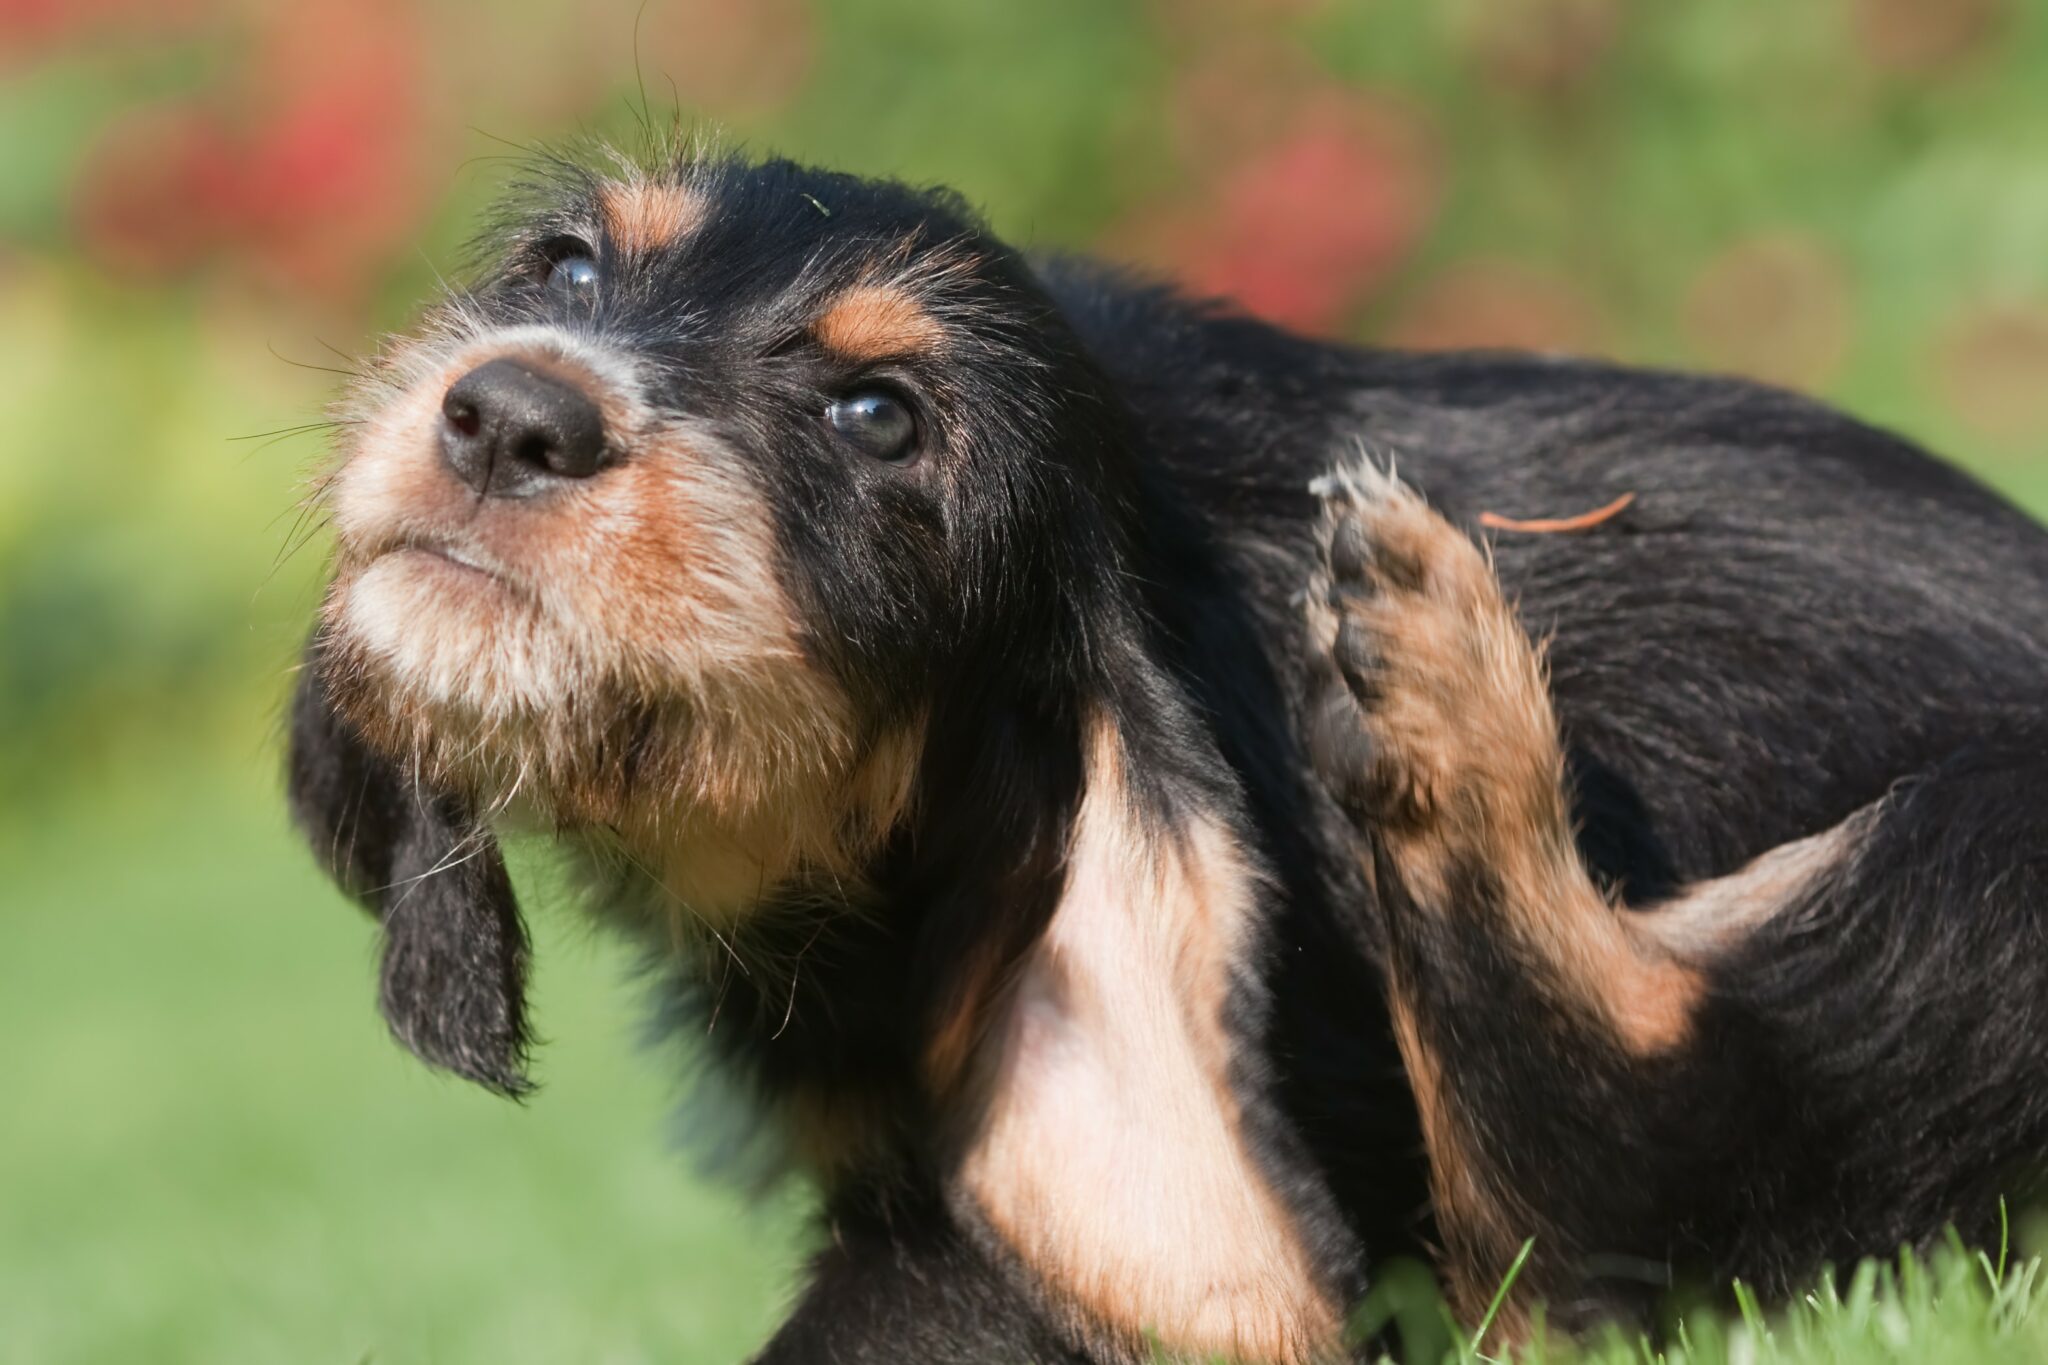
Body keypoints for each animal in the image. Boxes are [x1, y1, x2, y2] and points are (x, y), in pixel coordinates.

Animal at [284, 147, 2048, 1358]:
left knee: (1624, 1195)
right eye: (570, 267)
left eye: (880, 419)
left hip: (1983, 860)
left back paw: (1442, 691)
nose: (509, 412)